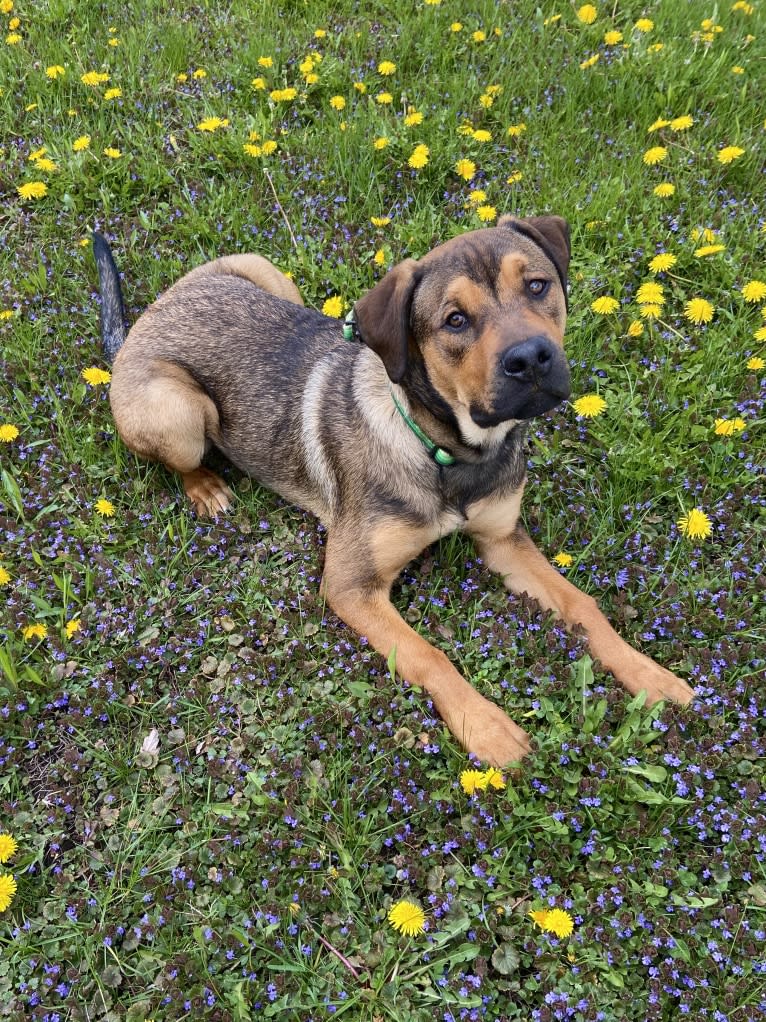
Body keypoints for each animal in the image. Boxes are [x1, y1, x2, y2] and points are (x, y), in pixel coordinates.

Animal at [92, 215, 698, 764]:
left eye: (537, 286)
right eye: (454, 320)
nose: (530, 359)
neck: (451, 454)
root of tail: (144, 319)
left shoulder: (503, 540)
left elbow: (583, 605)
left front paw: (652, 676)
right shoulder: (351, 587)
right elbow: (429, 655)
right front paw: (487, 728)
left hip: (262, 270)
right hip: (178, 412)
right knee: (185, 458)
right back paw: (208, 489)